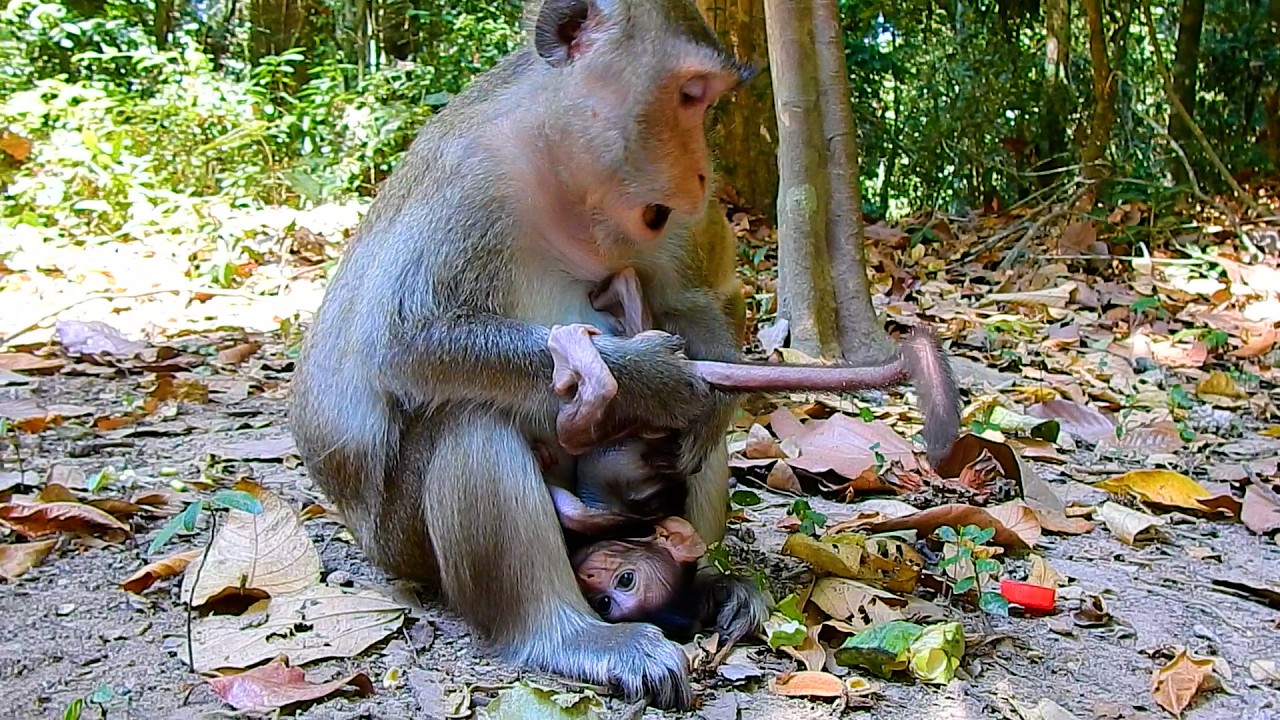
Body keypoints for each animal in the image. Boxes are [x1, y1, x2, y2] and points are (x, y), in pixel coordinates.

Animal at [289, 1, 769, 710]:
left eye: (706, 101)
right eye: (689, 95)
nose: (705, 174)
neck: (560, 176)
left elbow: (694, 303)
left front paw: (708, 393)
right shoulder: (469, 182)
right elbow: (400, 341)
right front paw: (647, 377)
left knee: (690, 449)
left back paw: (704, 576)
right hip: (404, 543)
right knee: (469, 419)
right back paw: (567, 636)